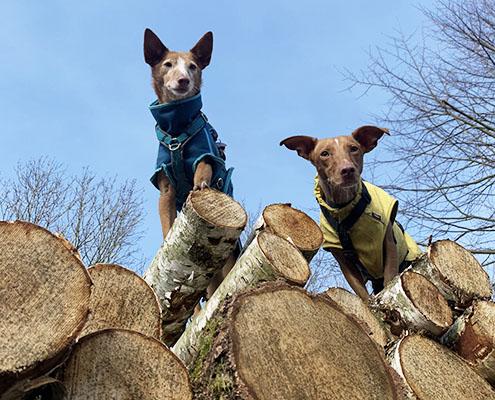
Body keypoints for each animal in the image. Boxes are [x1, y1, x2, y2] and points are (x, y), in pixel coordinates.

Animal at [280, 126, 420, 300]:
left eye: (354, 148)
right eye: (324, 153)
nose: (347, 170)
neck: (345, 206)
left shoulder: (388, 245)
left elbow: (390, 279)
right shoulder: (343, 261)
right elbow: (362, 294)